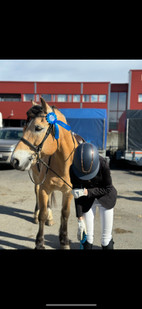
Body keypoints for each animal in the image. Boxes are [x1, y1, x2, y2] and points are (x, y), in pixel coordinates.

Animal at [10, 97, 77, 248]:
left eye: (38, 128)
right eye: (24, 127)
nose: (15, 160)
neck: (63, 164)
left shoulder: (68, 192)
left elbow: (65, 214)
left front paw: (64, 240)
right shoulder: (44, 188)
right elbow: (43, 214)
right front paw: (39, 243)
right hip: (37, 181)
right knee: (38, 197)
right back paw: (37, 215)